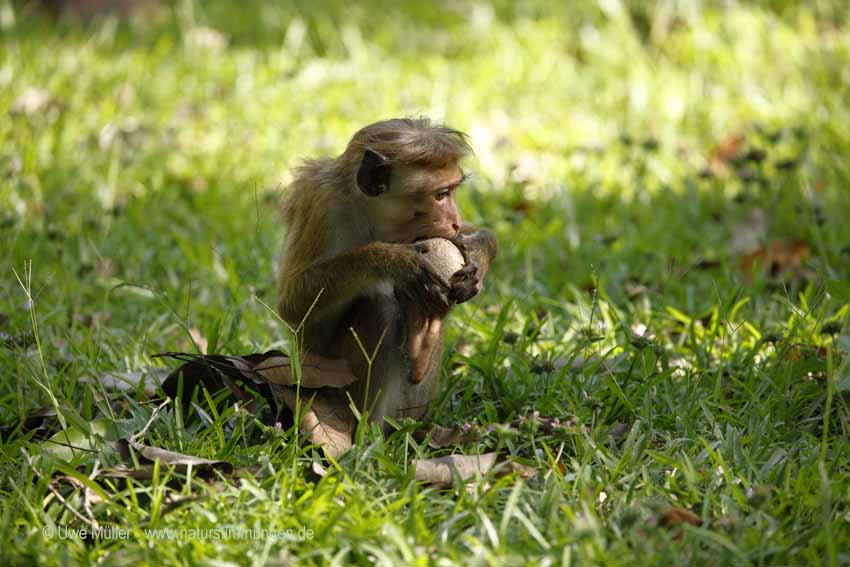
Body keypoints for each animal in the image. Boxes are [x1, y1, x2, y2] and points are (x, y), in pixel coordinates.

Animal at [274, 120, 494, 430]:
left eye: (452, 191)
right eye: (441, 194)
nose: (456, 220)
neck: (367, 213)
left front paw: (478, 254)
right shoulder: (322, 208)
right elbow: (291, 303)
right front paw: (394, 260)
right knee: (380, 307)